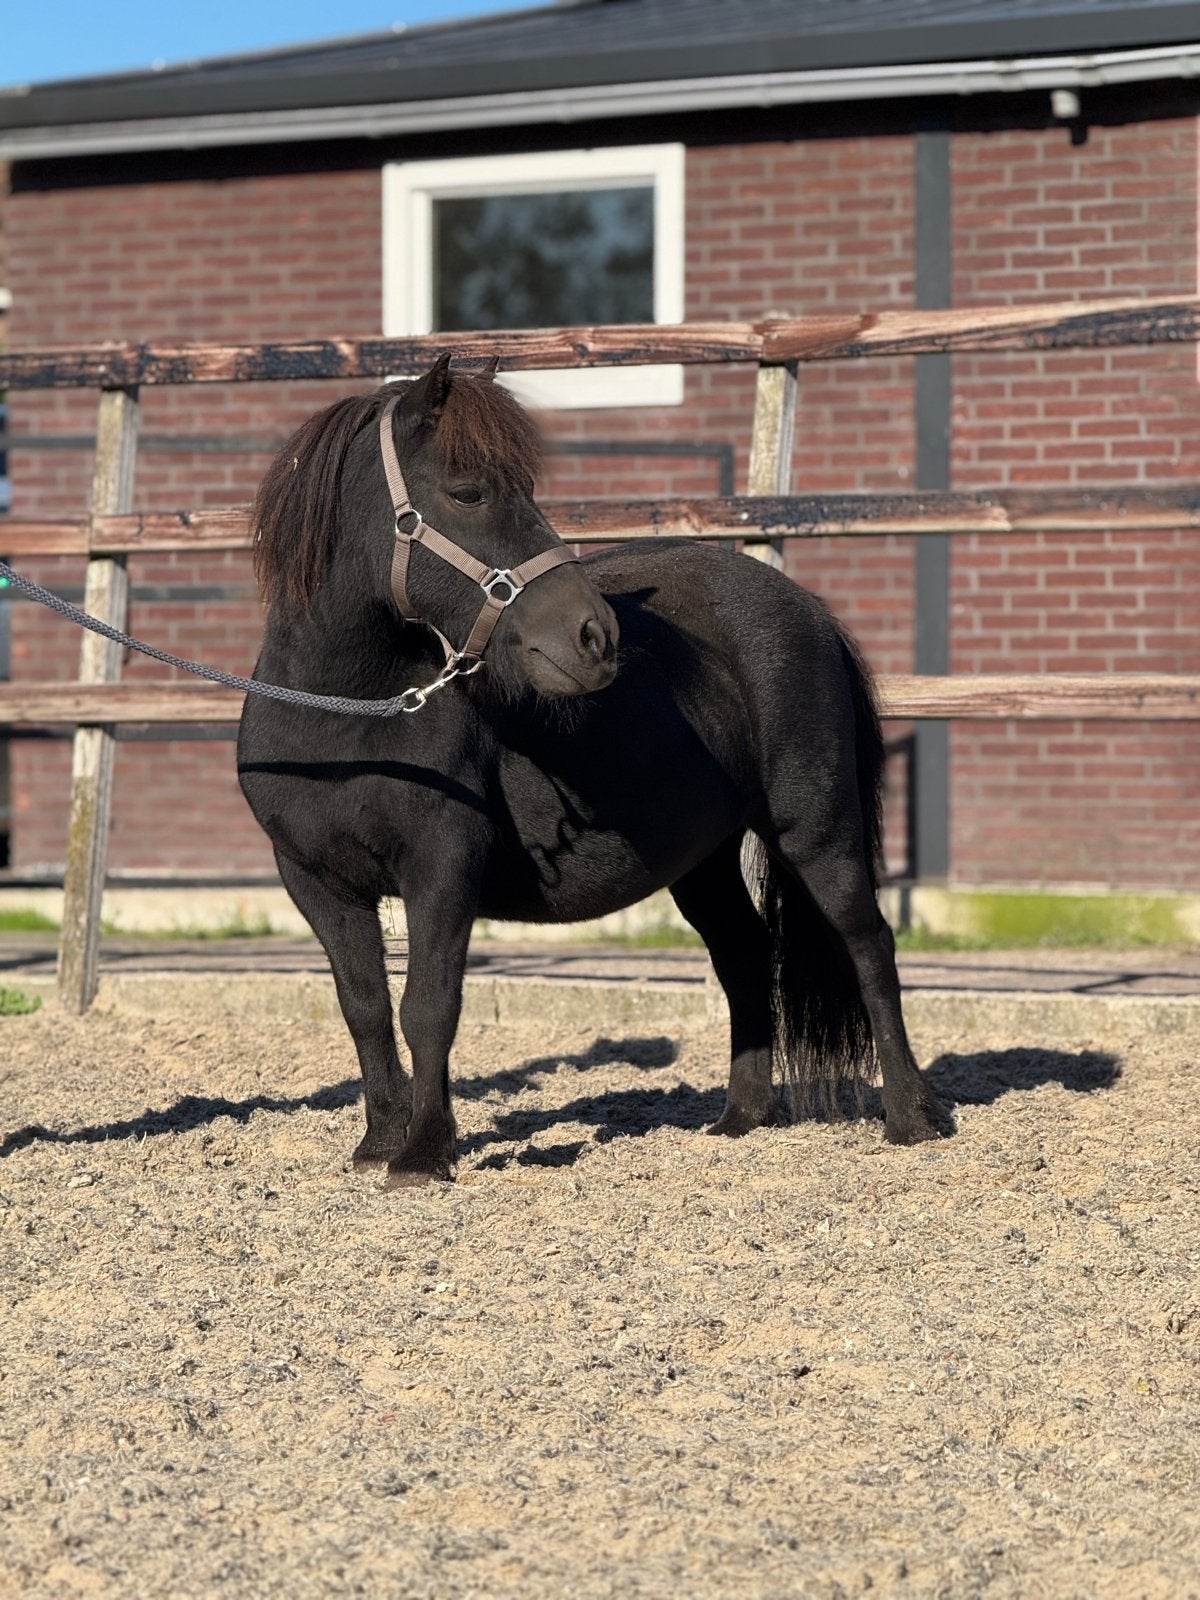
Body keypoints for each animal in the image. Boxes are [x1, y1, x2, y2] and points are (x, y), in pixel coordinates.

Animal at [237, 354, 940, 1186]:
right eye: (468, 491)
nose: (595, 636)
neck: (347, 714)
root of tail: (809, 609)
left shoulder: (441, 866)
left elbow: (428, 1006)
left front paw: (423, 1151)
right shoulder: (315, 881)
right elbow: (365, 1007)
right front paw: (379, 1141)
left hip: (815, 832)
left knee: (869, 945)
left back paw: (911, 1118)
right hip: (701, 859)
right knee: (742, 954)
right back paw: (739, 1118)